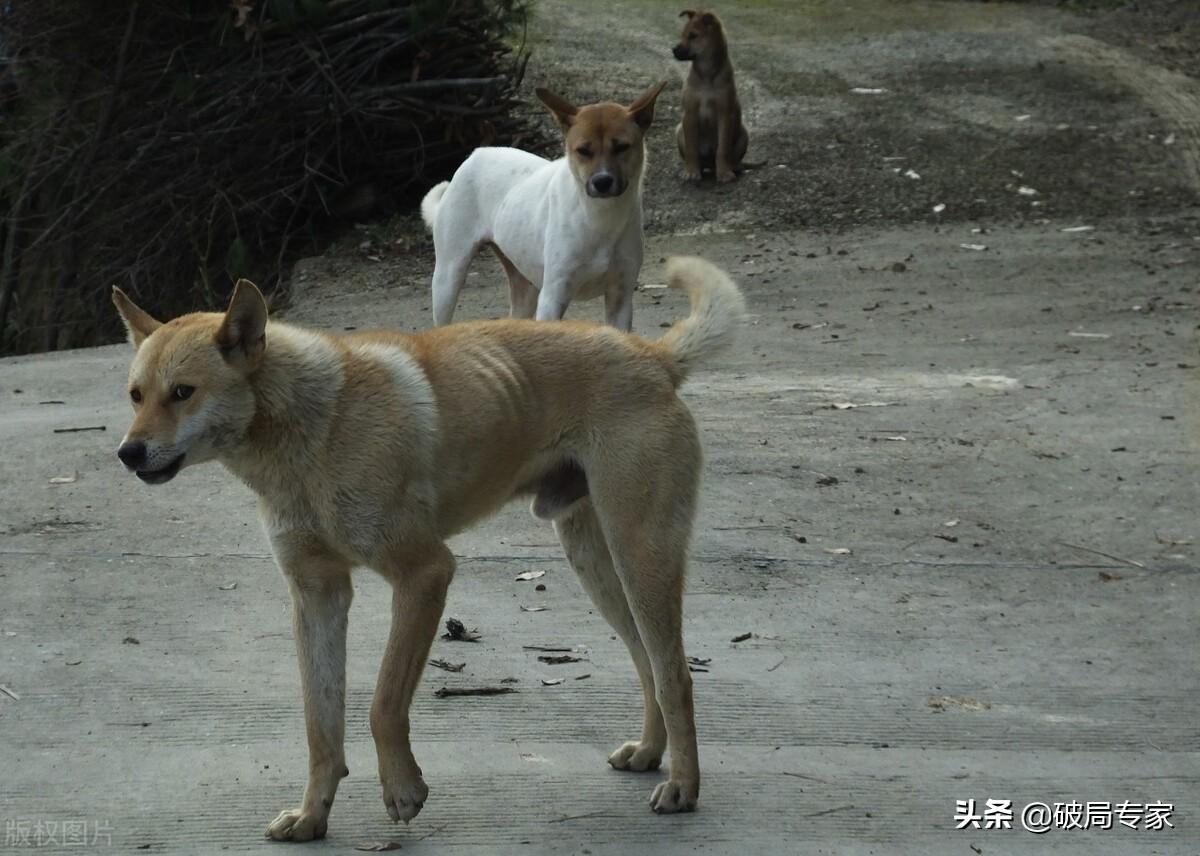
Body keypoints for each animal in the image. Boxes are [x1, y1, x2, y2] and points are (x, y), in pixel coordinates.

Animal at [114, 255, 748, 840]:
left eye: (183, 393)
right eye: (136, 396)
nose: (127, 453)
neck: (313, 427)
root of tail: (652, 357)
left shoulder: (424, 575)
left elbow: (381, 705)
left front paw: (402, 789)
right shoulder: (318, 598)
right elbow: (321, 724)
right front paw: (313, 815)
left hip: (640, 557)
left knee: (676, 675)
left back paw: (683, 786)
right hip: (598, 564)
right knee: (648, 666)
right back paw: (649, 753)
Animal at [420, 81, 667, 331]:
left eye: (622, 147)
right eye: (583, 150)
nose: (602, 182)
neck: (598, 217)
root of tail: (478, 153)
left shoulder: (621, 297)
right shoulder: (553, 297)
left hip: (524, 285)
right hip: (448, 277)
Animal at [672, 9, 744, 183]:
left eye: (693, 35)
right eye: (683, 35)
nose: (673, 49)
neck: (706, 74)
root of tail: (710, 166)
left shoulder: (725, 114)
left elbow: (723, 148)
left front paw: (724, 172)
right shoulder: (689, 114)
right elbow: (691, 148)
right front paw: (691, 171)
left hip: (743, 133)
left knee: (732, 157)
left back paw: (733, 167)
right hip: (679, 130)